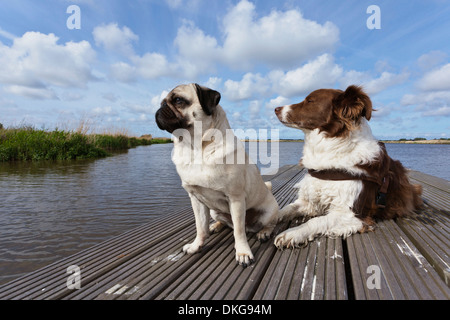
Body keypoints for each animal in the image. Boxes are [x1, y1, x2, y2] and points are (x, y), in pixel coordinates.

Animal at [272, 84, 424, 248]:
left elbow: (317, 221)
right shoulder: (310, 201)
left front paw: (292, 233)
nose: (276, 108)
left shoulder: (353, 215)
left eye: (310, 100)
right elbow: (285, 208)